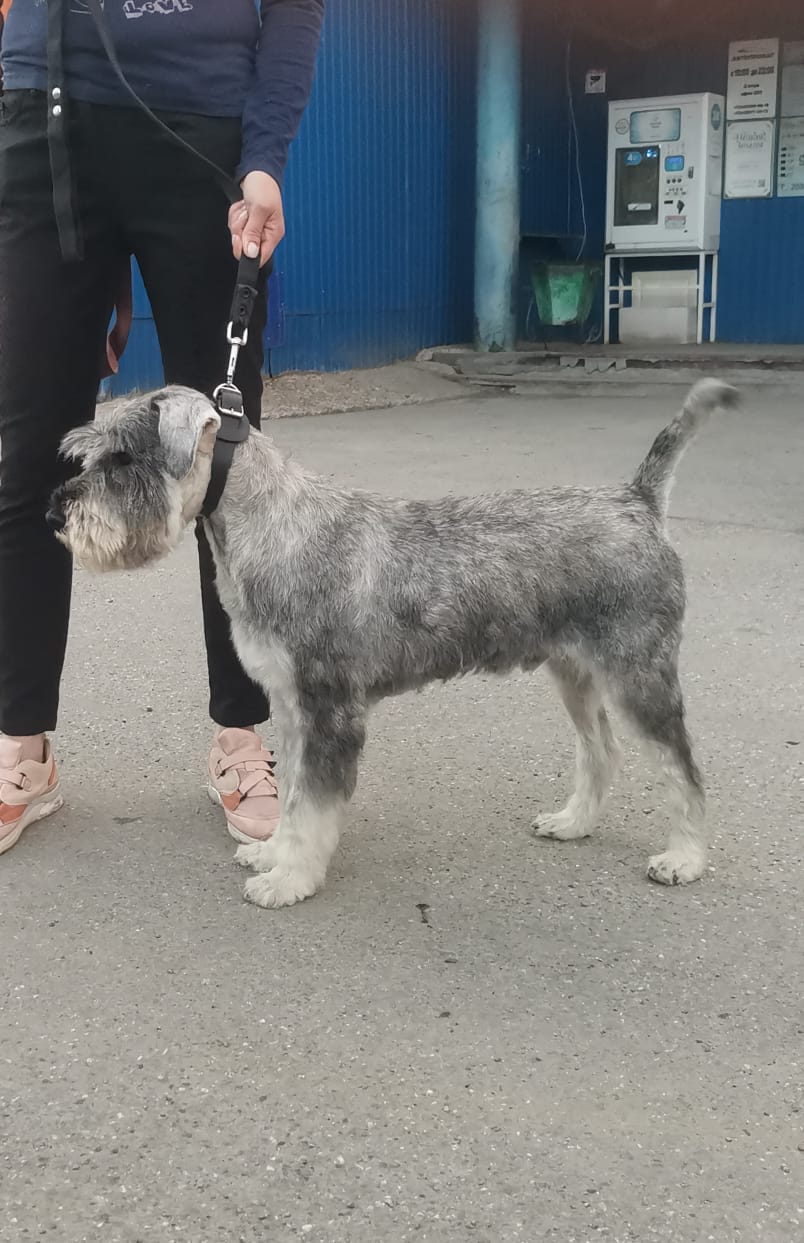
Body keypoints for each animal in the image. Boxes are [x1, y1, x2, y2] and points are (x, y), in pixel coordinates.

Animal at [49, 378, 738, 908]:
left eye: (122, 459)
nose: (58, 514)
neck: (272, 527)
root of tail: (637, 501)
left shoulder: (329, 712)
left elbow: (314, 807)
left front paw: (290, 879)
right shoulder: (294, 708)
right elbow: (293, 796)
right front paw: (271, 853)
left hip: (637, 675)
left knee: (682, 767)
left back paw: (683, 857)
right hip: (574, 672)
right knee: (602, 750)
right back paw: (572, 823)